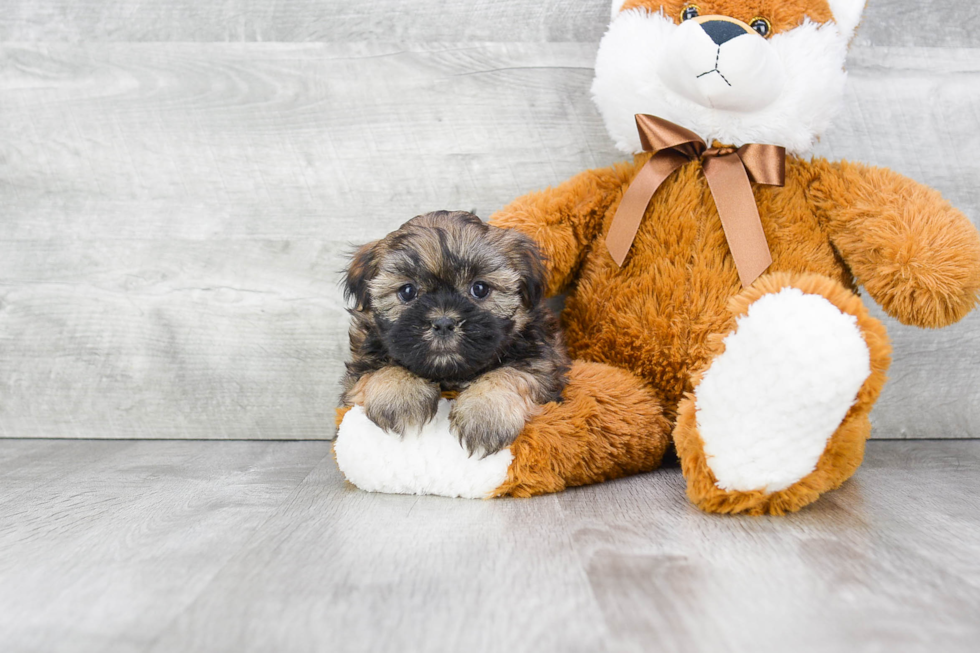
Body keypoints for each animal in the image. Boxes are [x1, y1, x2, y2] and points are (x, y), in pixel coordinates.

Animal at [340, 211, 572, 456]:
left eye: (480, 289)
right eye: (407, 291)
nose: (443, 323)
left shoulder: (543, 362)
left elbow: (510, 373)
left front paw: (485, 413)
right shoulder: (360, 365)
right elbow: (380, 369)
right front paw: (399, 396)